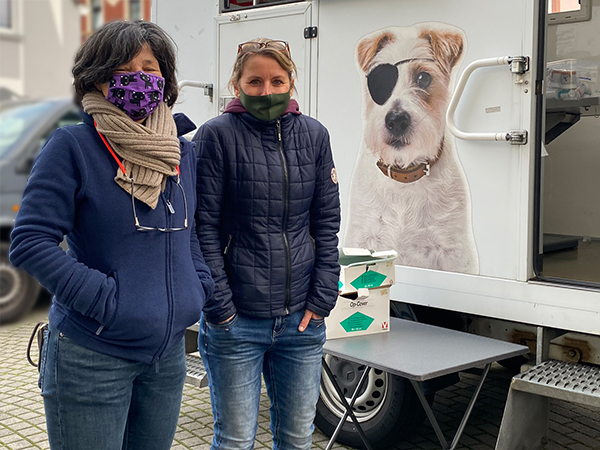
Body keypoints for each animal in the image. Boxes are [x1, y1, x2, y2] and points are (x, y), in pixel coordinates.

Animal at [344, 23, 480, 274]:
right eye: (378, 81)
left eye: (423, 78)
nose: (396, 120)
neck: (404, 173)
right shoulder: (363, 238)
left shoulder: (452, 254)